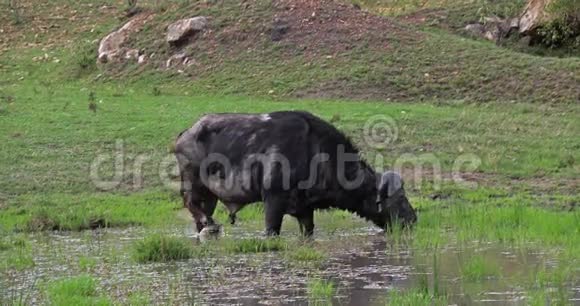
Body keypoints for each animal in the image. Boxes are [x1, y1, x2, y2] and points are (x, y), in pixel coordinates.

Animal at [173, 110, 416, 237]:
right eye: (399, 199)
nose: (413, 219)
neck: (314, 151)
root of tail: (186, 134)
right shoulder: (273, 202)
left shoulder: (305, 210)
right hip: (193, 182)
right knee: (190, 203)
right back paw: (209, 223)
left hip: (210, 195)